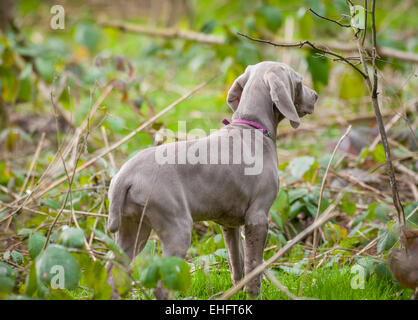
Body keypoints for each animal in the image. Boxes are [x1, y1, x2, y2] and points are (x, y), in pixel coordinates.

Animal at [107, 60, 316, 298]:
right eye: (299, 81)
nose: (316, 96)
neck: (251, 127)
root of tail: (124, 176)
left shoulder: (229, 224)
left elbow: (237, 265)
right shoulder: (258, 217)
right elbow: (254, 267)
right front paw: (254, 295)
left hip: (132, 226)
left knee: (113, 272)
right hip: (176, 226)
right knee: (160, 286)